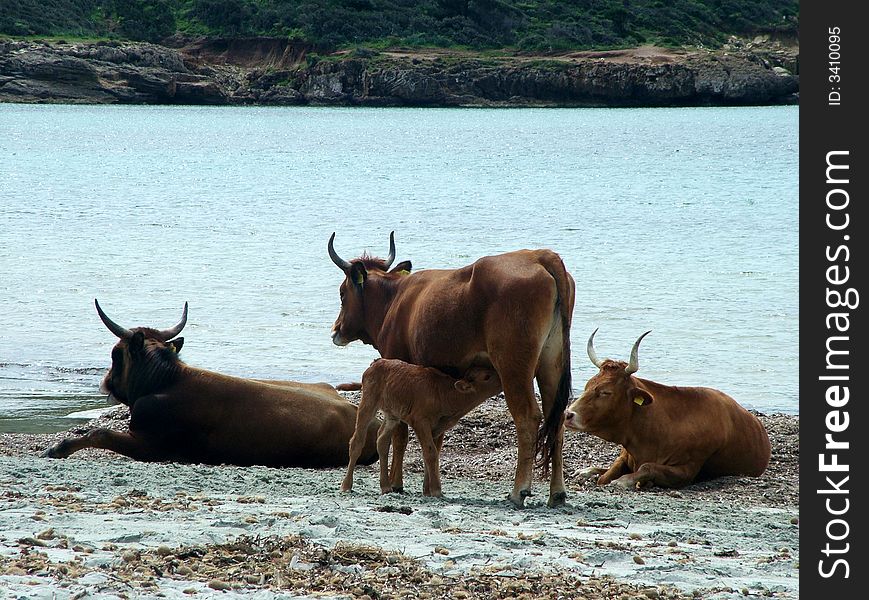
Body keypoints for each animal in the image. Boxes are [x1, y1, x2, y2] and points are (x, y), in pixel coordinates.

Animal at [41, 300, 380, 468]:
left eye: (116, 353)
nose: (106, 382)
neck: (168, 381)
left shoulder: (151, 445)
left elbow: (99, 432)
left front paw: (58, 448)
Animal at [340, 358, 502, 494]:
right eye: (487, 376)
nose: (502, 378)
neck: (444, 394)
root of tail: (377, 362)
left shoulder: (436, 428)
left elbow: (430, 453)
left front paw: (427, 490)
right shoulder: (420, 421)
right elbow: (430, 452)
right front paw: (436, 491)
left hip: (392, 414)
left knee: (382, 440)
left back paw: (385, 486)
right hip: (368, 403)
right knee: (356, 441)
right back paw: (346, 485)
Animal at [560, 330, 768, 490]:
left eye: (605, 392)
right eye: (587, 385)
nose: (568, 414)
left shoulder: (686, 470)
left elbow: (646, 468)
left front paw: (624, 481)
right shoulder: (626, 454)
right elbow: (607, 474)